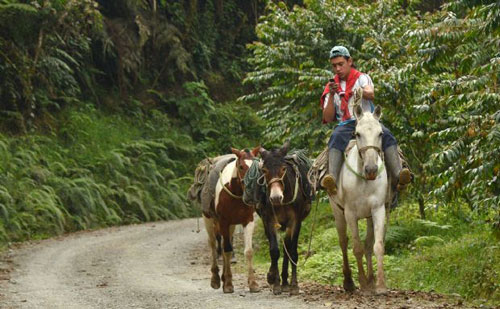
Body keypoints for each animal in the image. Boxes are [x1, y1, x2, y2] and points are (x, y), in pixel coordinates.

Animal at [202, 146, 262, 292]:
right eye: (241, 166)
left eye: (257, 167)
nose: (251, 194)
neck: (235, 193)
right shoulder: (223, 222)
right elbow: (227, 250)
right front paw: (228, 284)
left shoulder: (248, 221)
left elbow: (248, 251)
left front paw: (253, 283)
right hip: (208, 220)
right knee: (213, 245)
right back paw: (216, 279)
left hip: (231, 226)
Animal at [258, 140, 312, 294]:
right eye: (264, 171)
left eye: (283, 169)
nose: (276, 198)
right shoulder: (270, 220)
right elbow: (274, 251)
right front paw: (274, 282)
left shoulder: (295, 222)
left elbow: (292, 251)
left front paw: (294, 285)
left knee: (287, 247)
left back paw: (286, 282)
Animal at [330, 104, 392, 294]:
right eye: (357, 134)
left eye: (381, 133)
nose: (371, 169)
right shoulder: (350, 213)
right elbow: (356, 248)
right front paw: (363, 284)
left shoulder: (378, 210)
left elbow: (377, 245)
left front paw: (380, 285)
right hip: (338, 212)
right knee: (343, 243)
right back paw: (349, 282)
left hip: (369, 217)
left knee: (368, 245)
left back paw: (371, 280)